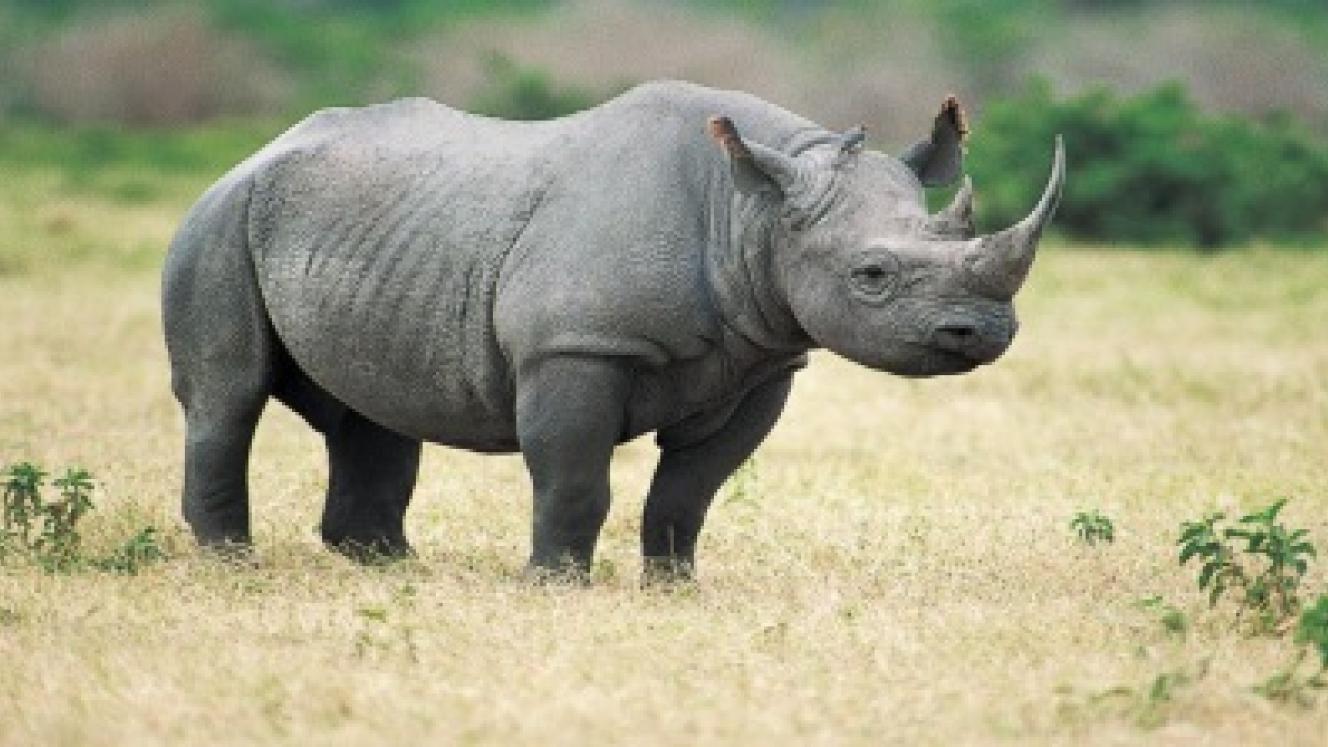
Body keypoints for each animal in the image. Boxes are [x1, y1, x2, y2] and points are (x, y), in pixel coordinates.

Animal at [163, 81, 1064, 580]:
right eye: (871, 275)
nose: (984, 331)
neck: (750, 210)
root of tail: (256, 150)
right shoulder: (576, 345)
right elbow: (573, 477)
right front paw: (555, 585)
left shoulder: (764, 362)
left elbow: (693, 487)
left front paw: (675, 586)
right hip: (217, 221)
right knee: (227, 395)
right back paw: (235, 565)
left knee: (376, 410)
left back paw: (391, 568)